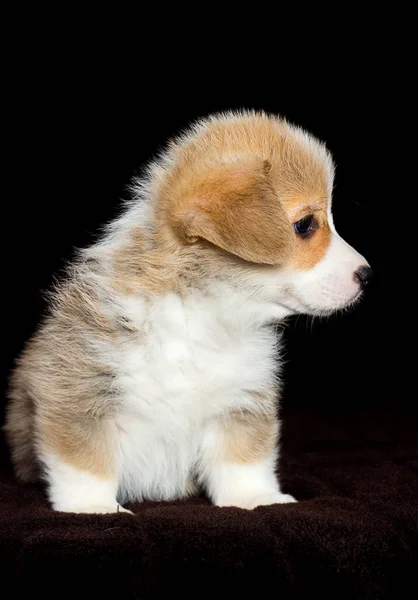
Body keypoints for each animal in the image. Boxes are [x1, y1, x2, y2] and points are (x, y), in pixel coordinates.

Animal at [4, 111, 372, 510]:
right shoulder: (81, 393)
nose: (367, 275)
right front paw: (95, 509)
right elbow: (86, 464)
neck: (201, 312)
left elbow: (243, 461)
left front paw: (257, 499)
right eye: (305, 225)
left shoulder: (240, 402)